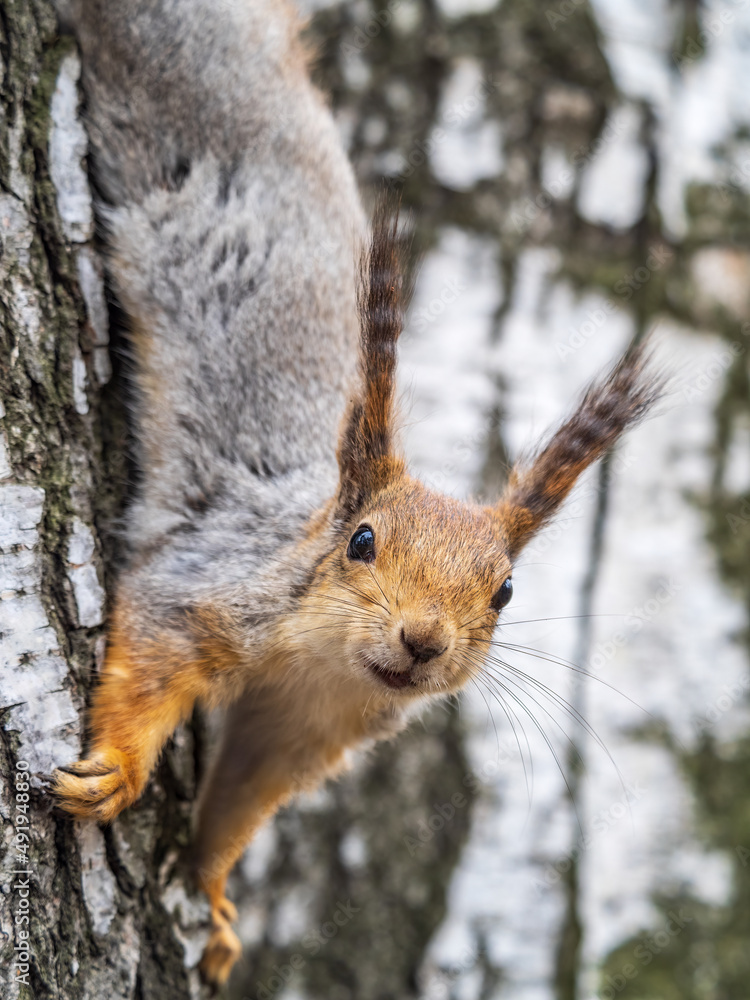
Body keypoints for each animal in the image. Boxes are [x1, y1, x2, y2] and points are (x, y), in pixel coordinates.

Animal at [52, 0, 662, 987]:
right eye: (362, 542)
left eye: (505, 591)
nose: (422, 642)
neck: (320, 660)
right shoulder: (210, 580)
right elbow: (149, 653)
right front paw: (116, 769)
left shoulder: (304, 730)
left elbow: (242, 802)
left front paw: (215, 899)